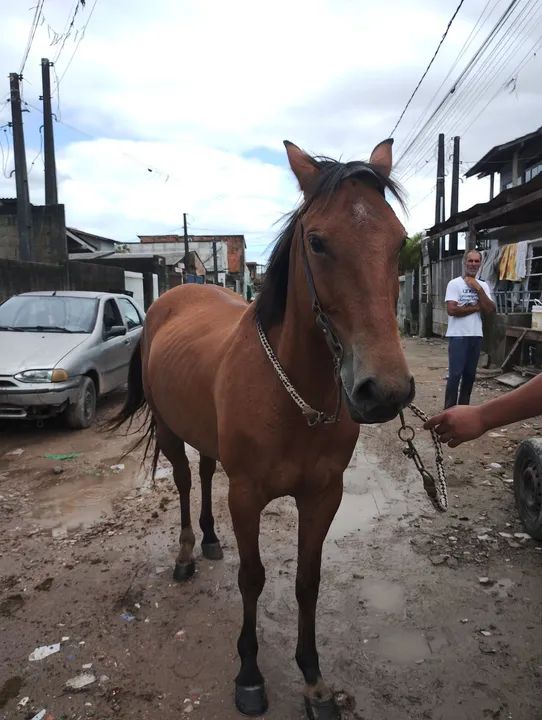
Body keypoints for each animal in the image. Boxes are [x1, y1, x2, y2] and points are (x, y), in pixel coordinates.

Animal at [111, 139, 415, 719]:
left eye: (399, 241)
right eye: (317, 242)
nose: (384, 391)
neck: (295, 396)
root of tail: (170, 299)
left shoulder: (323, 495)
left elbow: (307, 581)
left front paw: (313, 680)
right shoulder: (248, 495)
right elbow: (252, 579)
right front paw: (249, 674)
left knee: (207, 474)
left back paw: (210, 540)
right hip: (170, 433)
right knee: (185, 481)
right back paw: (186, 552)